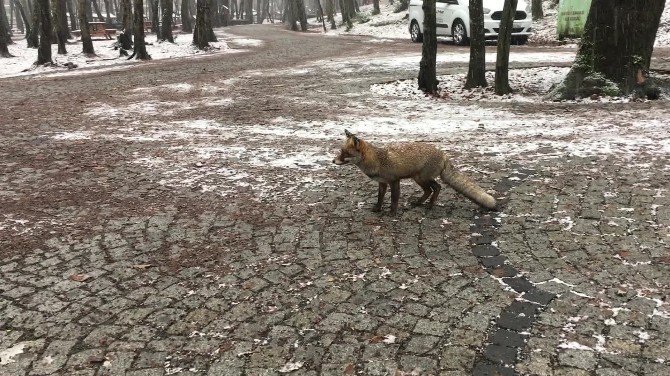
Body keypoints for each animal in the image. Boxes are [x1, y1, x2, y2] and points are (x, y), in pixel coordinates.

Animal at [334, 129, 498, 216]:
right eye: (341, 151)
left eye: (345, 153)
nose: (333, 161)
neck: (377, 160)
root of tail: (443, 154)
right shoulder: (382, 183)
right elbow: (380, 198)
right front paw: (378, 209)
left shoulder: (394, 181)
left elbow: (394, 199)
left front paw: (392, 213)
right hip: (418, 179)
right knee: (429, 190)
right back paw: (419, 202)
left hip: (422, 178)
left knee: (437, 187)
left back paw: (430, 205)